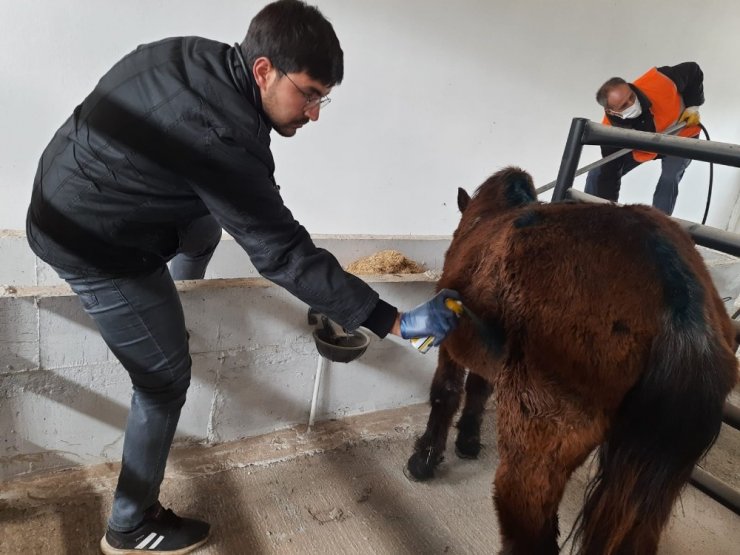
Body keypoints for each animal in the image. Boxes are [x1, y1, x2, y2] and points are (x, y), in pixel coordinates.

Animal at [408, 168, 736, 555]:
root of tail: (680, 298)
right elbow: (477, 389)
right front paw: (468, 442)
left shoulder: (451, 343)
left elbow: (445, 394)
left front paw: (424, 459)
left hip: (538, 447)